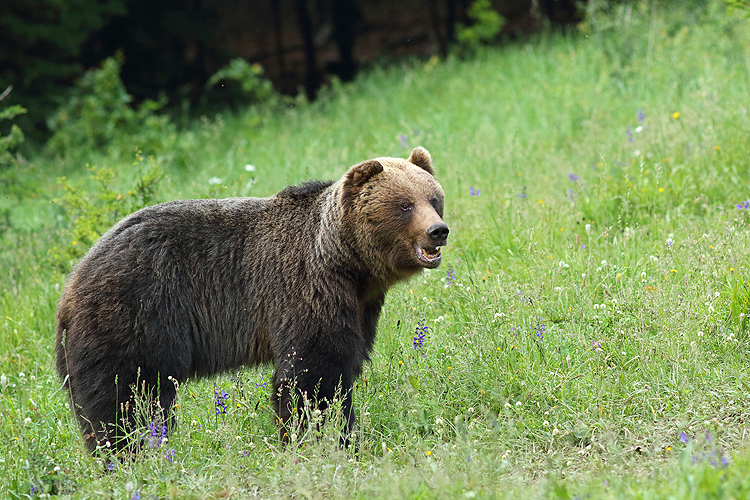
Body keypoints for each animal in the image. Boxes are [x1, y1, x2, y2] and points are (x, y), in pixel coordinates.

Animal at [58, 146, 450, 452]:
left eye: (433, 199)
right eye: (404, 204)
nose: (438, 231)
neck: (348, 264)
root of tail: (71, 283)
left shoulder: (359, 306)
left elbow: (344, 364)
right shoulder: (303, 290)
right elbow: (314, 372)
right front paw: (319, 438)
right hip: (136, 313)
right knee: (124, 397)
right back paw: (127, 454)